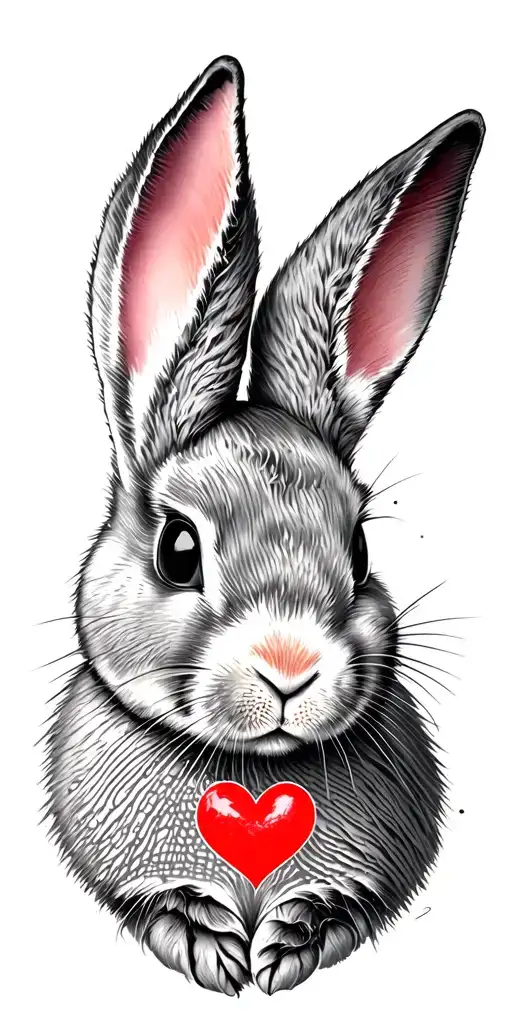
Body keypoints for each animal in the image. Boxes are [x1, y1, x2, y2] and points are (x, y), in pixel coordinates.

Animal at [45, 55, 485, 996]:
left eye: (359, 547)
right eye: (178, 550)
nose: (290, 668)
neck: (253, 769)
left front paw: (290, 943)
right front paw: (211, 942)